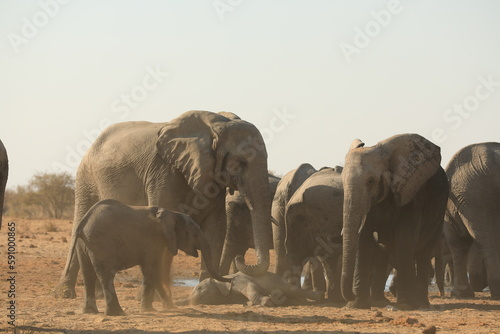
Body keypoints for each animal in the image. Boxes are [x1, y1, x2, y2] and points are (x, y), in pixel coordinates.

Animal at [56, 111, 272, 298]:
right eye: (241, 162)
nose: (241, 259)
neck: (216, 125)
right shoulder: (163, 172)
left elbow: (216, 229)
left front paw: (206, 290)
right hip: (86, 178)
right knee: (79, 226)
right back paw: (66, 293)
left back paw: (99, 294)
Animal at [63, 198, 228, 316]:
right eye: (194, 235)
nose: (230, 280)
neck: (172, 213)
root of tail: (83, 221)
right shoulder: (154, 240)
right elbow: (151, 269)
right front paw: (150, 311)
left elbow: (153, 271)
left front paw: (168, 307)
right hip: (101, 243)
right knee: (105, 276)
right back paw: (117, 314)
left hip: (84, 244)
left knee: (88, 275)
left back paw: (90, 312)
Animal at [178, 266, 322, 308]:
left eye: (198, 289)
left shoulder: (239, 280)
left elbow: (251, 287)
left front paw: (267, 302)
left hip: (278, 281)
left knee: (290, 289)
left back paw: (319, 297)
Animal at [342, 134, 448, 310]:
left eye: (371, 181)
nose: (350, 295)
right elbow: (364, 240)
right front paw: (356, 305)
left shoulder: (410, 192)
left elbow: (404, 238)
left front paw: (404, 306)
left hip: (440, 209)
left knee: (423, 253)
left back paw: (420, 304)